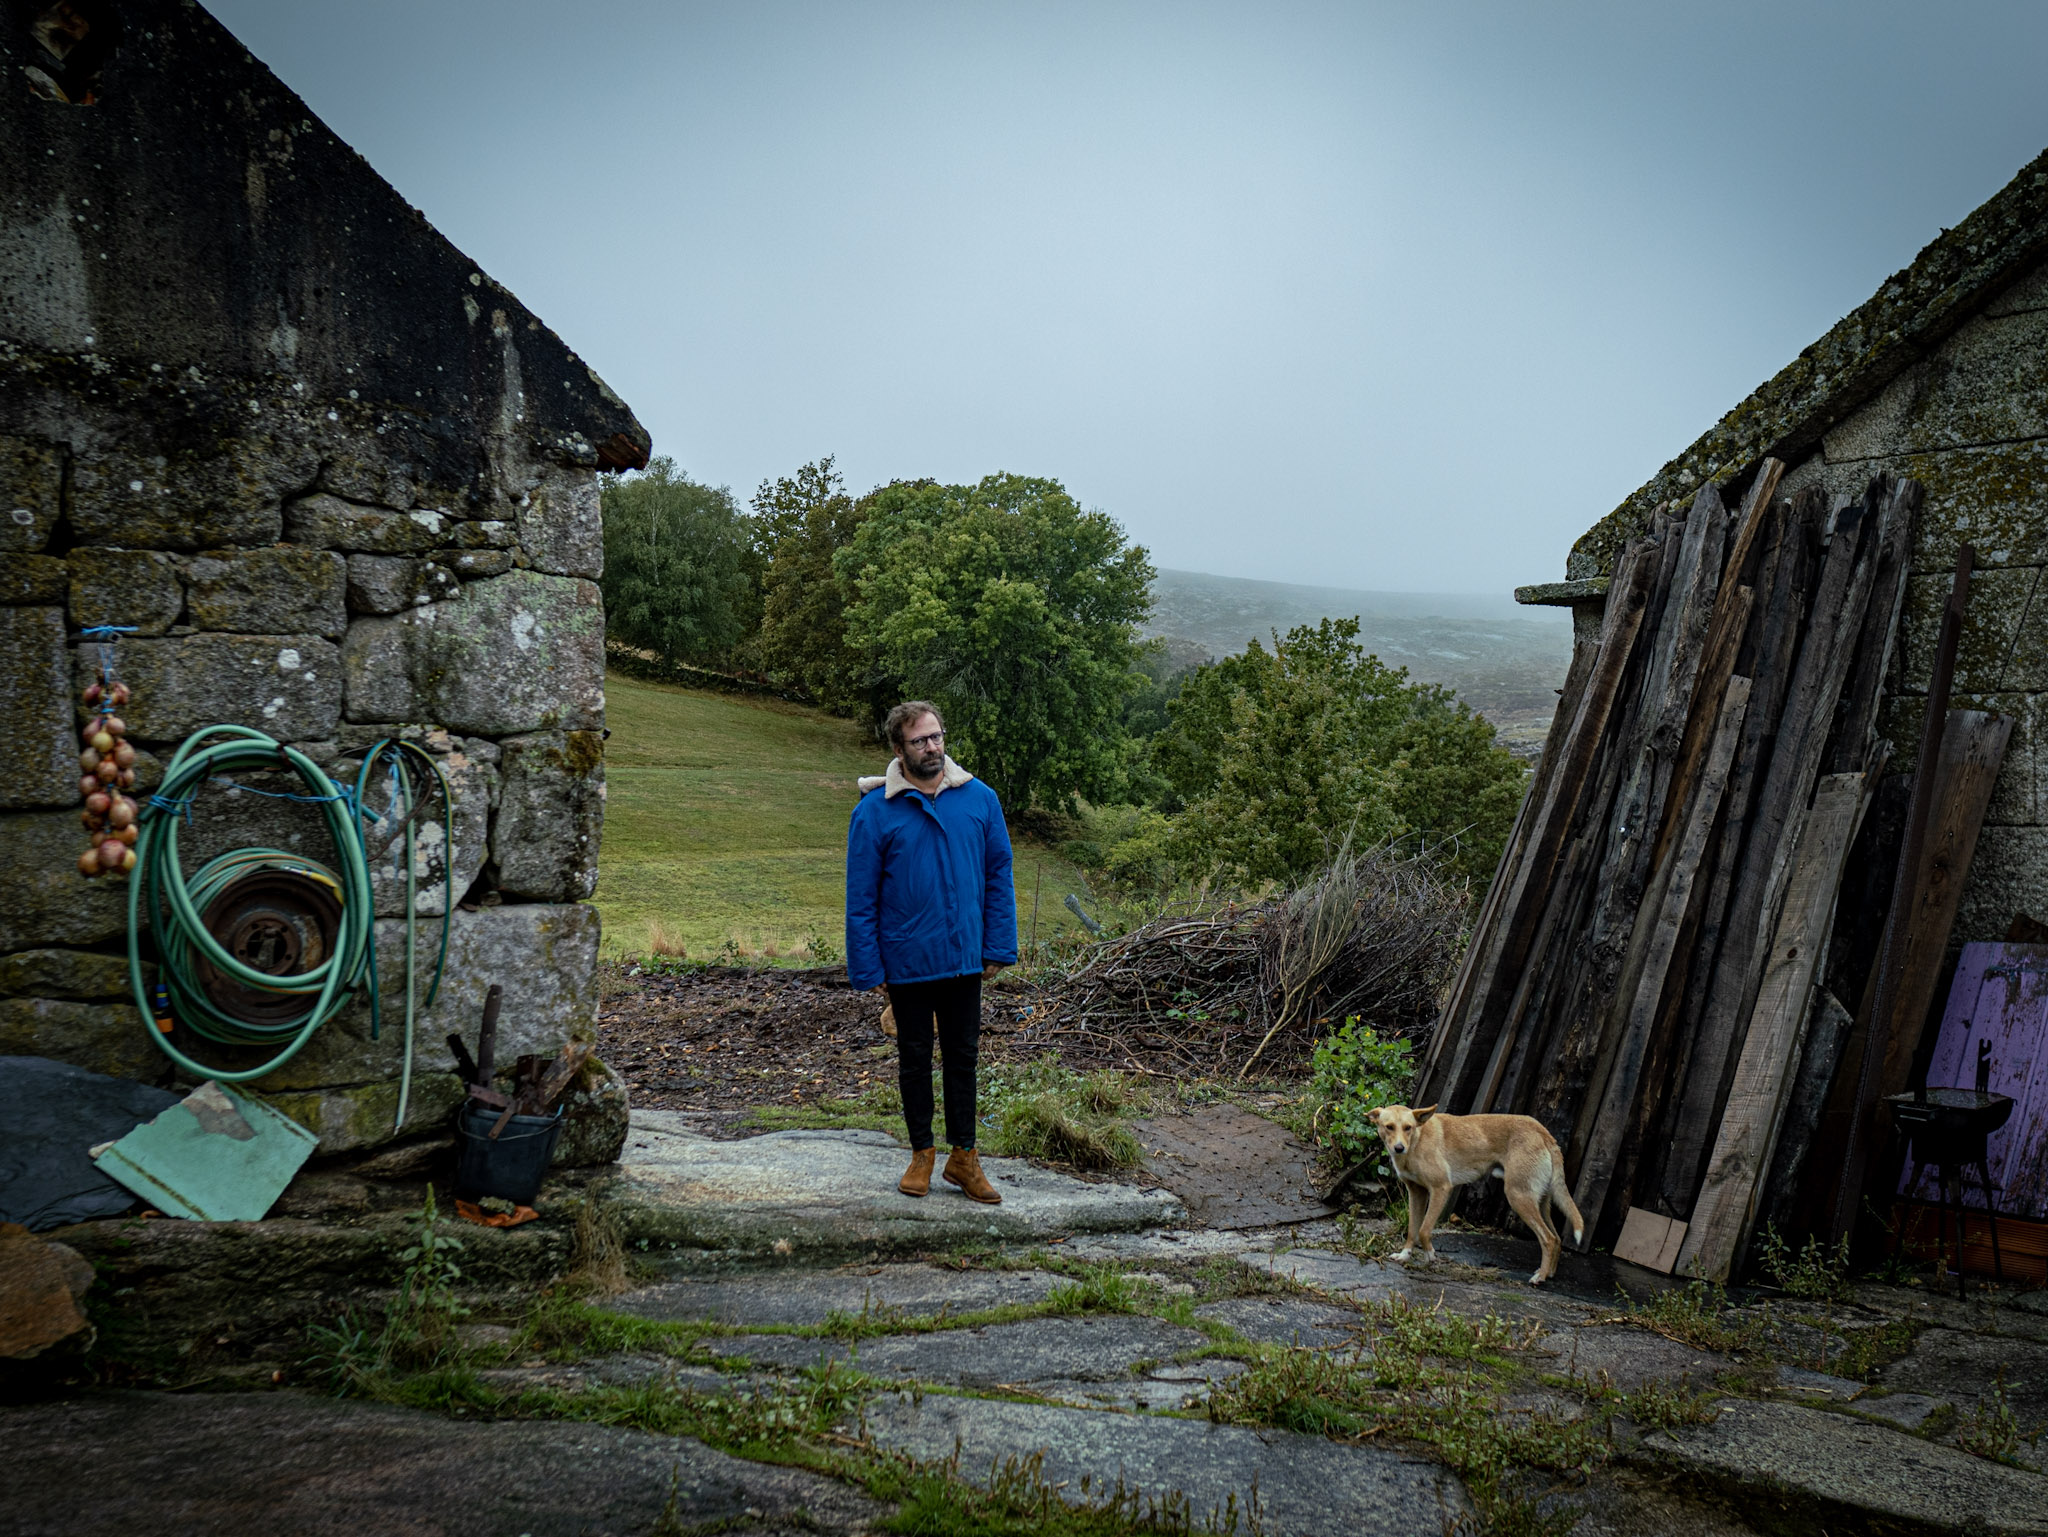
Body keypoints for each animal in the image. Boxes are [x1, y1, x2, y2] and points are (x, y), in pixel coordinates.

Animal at [1376, 1106, 1581, 1286]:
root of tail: (1544, 1132)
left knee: (1548, 1239)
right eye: (1389, 1126)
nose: (1399, 1148)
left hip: (1518, 1197)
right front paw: (1404, 1256)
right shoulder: (1416, 1193)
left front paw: (1430, 1255)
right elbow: (1412, 1230)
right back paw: (1548, 1273)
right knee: (1557, 1239)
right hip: (1540, 1203)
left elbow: (1423, 1231)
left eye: (1408, 1127)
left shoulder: (1441, 1189)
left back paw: (1540, 1277)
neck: (1417, 1140)